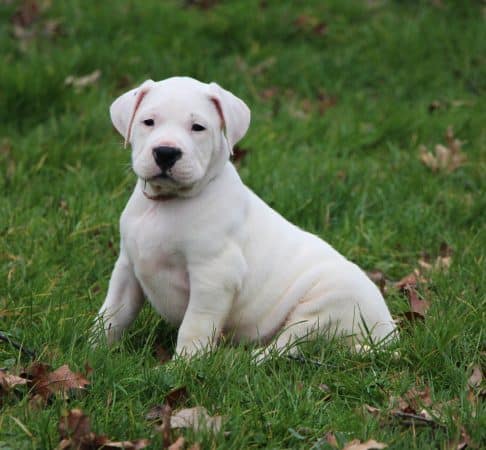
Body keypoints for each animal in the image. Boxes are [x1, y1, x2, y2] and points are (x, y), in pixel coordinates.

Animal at [95, 76, 394, 358]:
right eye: (148, 122)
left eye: (198, 127)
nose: (166, 152)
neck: (167, 204)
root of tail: (388, 336)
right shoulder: (127, 268)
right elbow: (112, 313)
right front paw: (94, 349)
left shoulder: (214, 276)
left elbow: (194, 325)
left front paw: (183, 366)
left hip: (325, 305)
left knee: (288, 345)